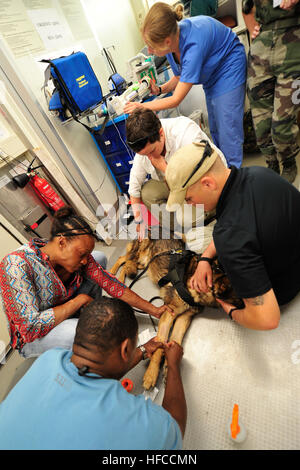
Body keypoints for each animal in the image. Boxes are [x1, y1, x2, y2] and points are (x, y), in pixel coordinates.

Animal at [110, 239, 241, 390]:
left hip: (144, 263)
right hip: (138, 252)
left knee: (130, 265)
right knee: (123, 259)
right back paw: (116, 276)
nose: (243, 308)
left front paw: (169, 365)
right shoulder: (169, 314)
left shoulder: (184, 318)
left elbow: (175, 339)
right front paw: (151, 374)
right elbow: (160, 343)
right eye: (242, 298)